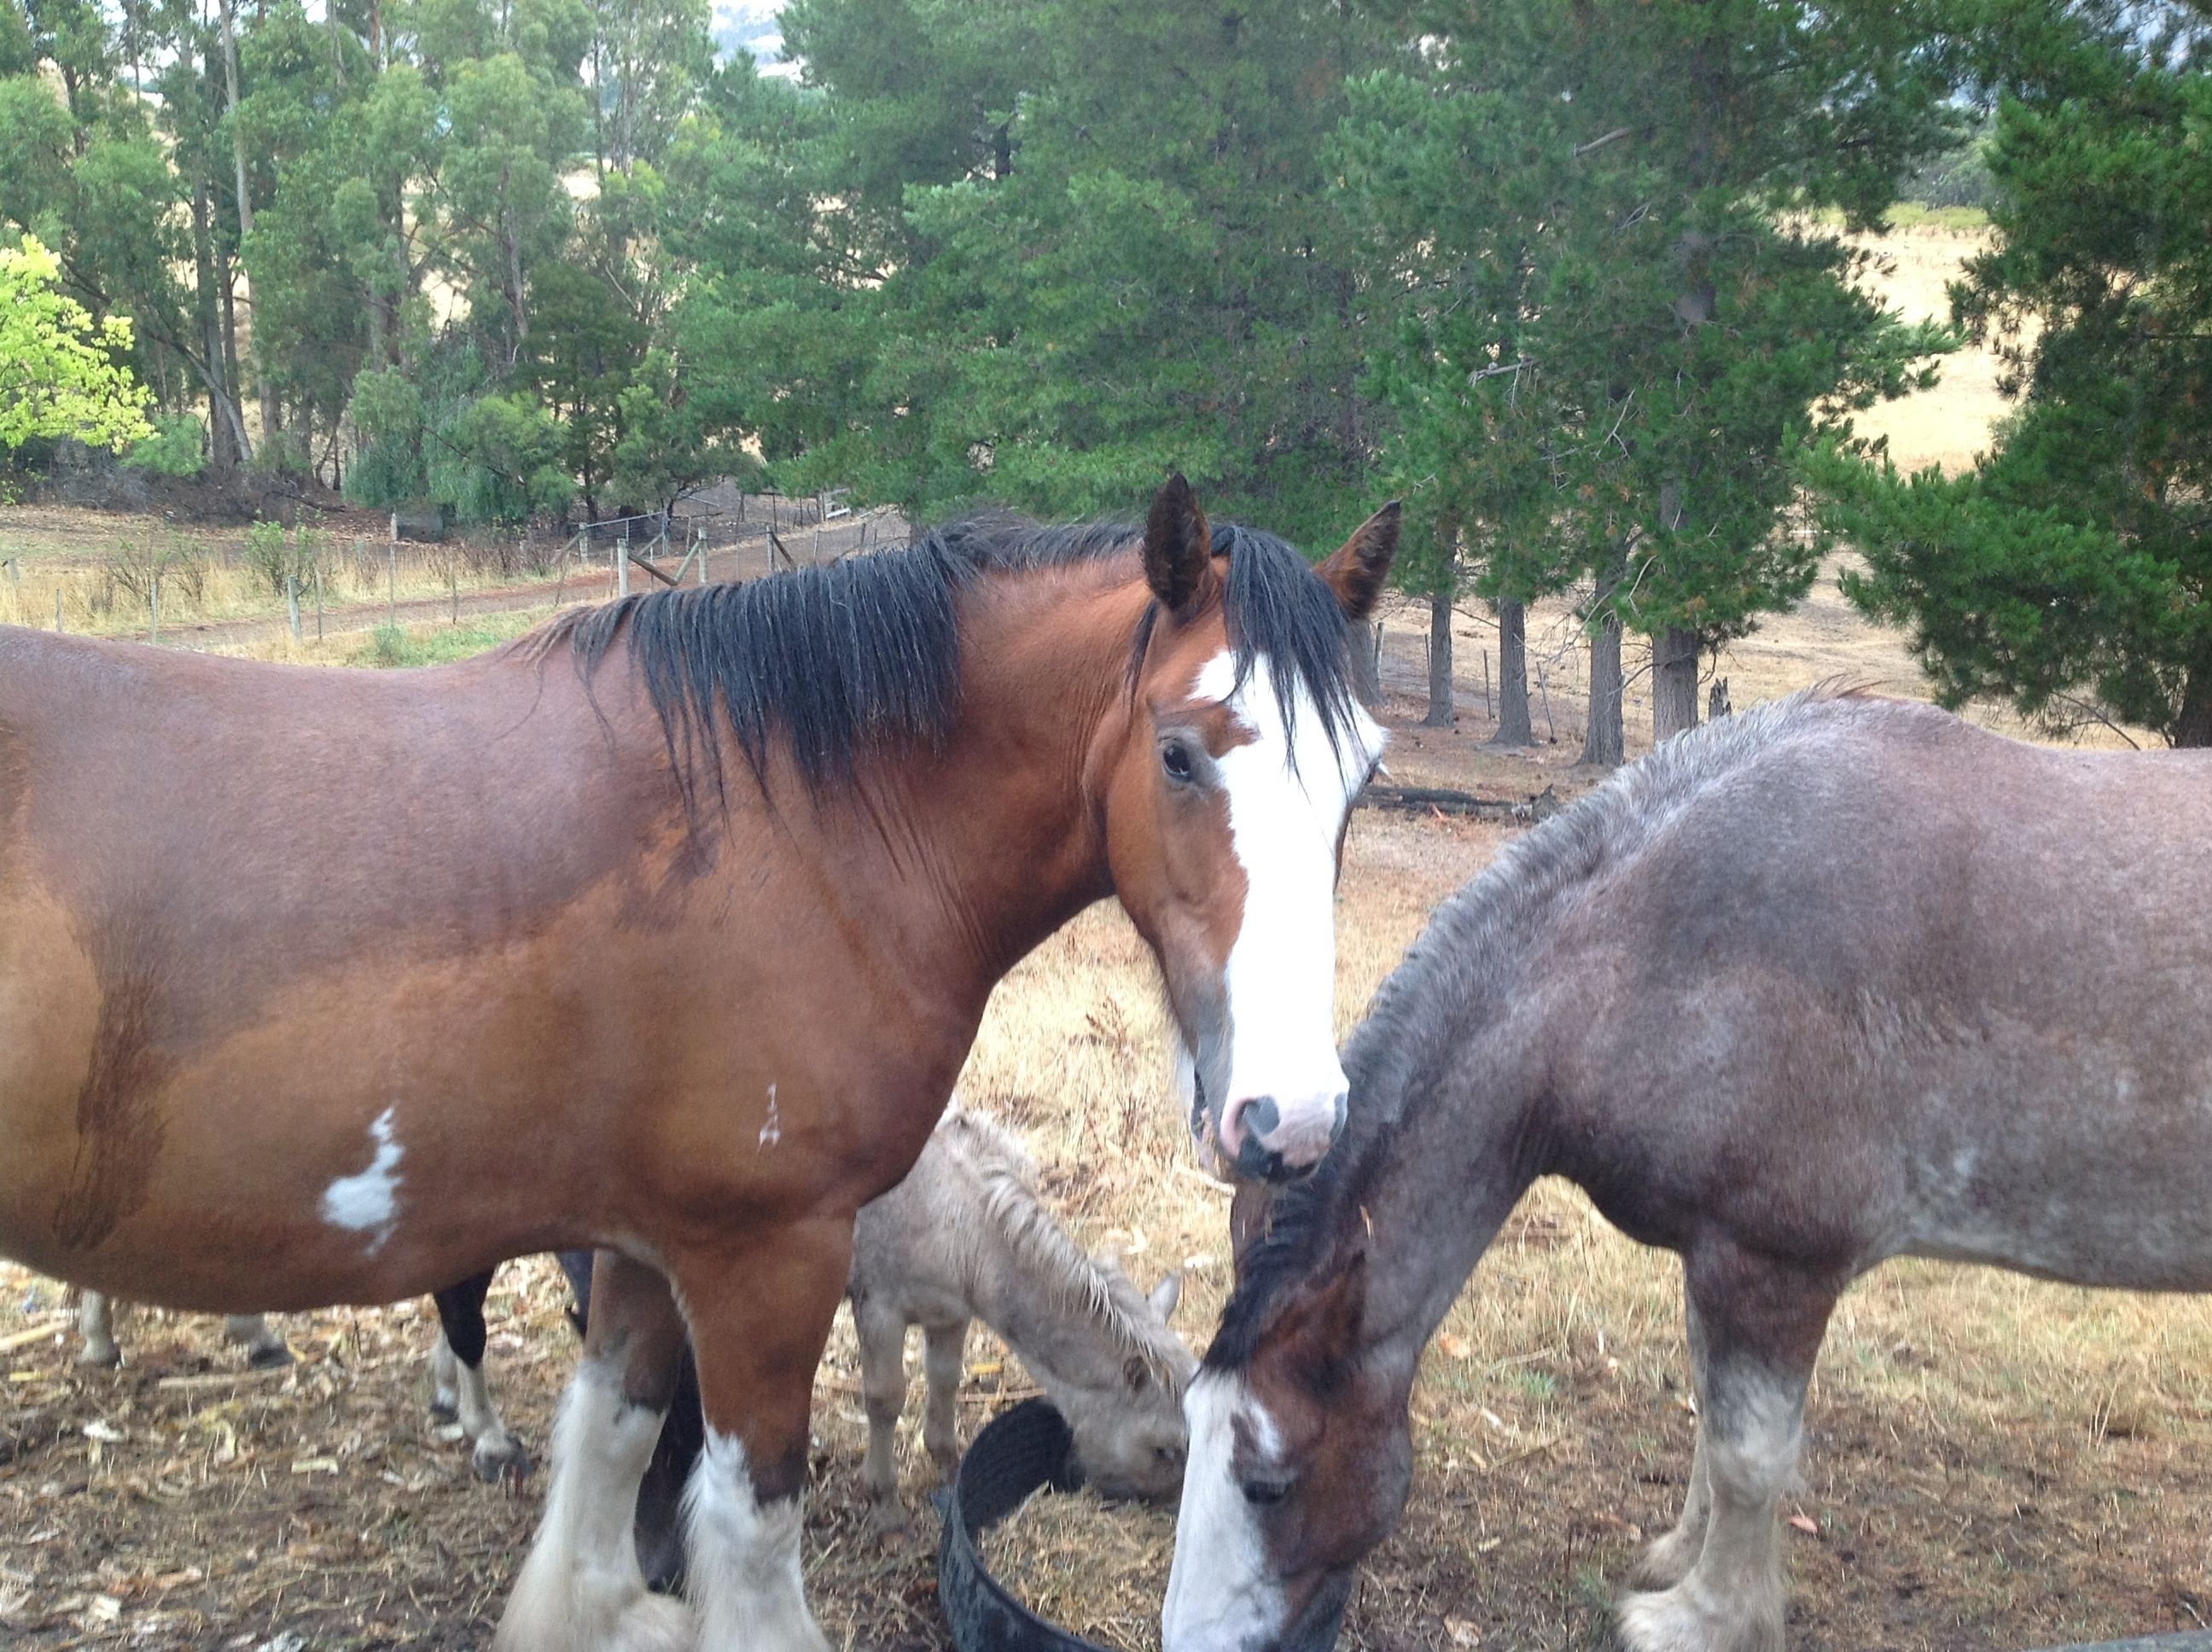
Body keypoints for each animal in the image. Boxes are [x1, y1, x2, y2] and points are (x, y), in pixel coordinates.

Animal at [0, 476, 1397, 1652]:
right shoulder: (766, 1257)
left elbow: (610, 1453)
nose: (1291, 1118)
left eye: (1363, 775)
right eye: (1179, 751)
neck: (786, 823)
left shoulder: (642, 1244)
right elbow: (746, 1517)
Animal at [1163, 687, 2212, 1652]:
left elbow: (1750, 1456)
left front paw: (1703, 1620)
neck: (1653, 950)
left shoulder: (1772, 1264)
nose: (1191, 1641)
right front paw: (1679, 1560)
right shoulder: (1716, 1258)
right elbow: (1712, 1419)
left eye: (1267, 1482)